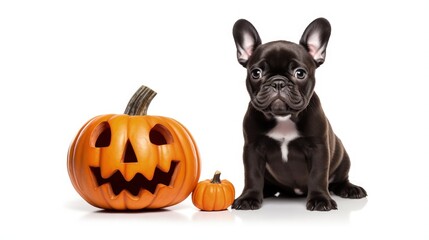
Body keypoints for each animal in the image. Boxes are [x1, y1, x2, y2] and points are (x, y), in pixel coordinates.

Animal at [231, 17, 364, 211]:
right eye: (256, 73)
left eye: (300, 73)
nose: (278, 82)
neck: (284, 118)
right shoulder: (252, 149)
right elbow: (252, 175)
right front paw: (249, 197)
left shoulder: (318, 148)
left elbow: (318, 175)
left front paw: (320, 199)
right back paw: (266, 191)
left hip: (342, 156)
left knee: (340, 179)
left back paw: (350, 189)